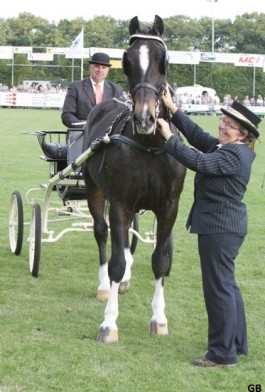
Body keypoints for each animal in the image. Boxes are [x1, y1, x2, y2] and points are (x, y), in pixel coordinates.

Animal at [82, 14, 186, 344]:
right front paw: (109, 324)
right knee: (102, 233)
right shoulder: (120, 203)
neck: (149, 145)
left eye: (164, 60)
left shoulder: (169, 207)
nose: (144, 117)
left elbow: (160, 260)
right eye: (127, 61)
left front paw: (159, 319)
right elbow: (115, 262)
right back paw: (105, 285)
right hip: (94, 190)